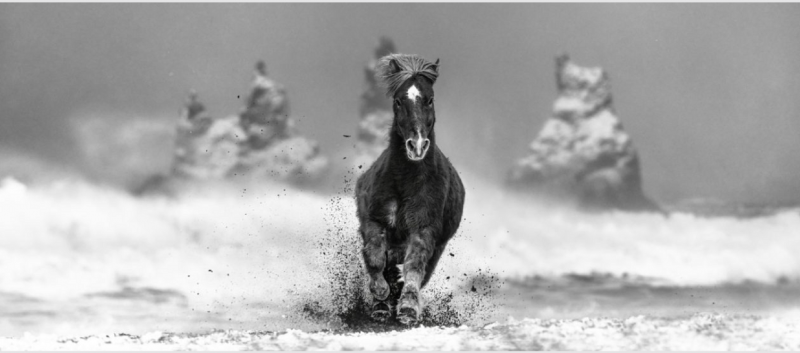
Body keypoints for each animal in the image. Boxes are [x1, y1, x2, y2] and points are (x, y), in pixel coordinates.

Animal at [354, 53, 462, 324]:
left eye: (430, 99)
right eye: (398, 100)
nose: (417, 145)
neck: (404, 182)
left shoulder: (424, 229)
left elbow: (414, 266)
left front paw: (408, 309)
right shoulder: (375, 220)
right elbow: (374, 256)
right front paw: (380, 296)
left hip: (438, 247)